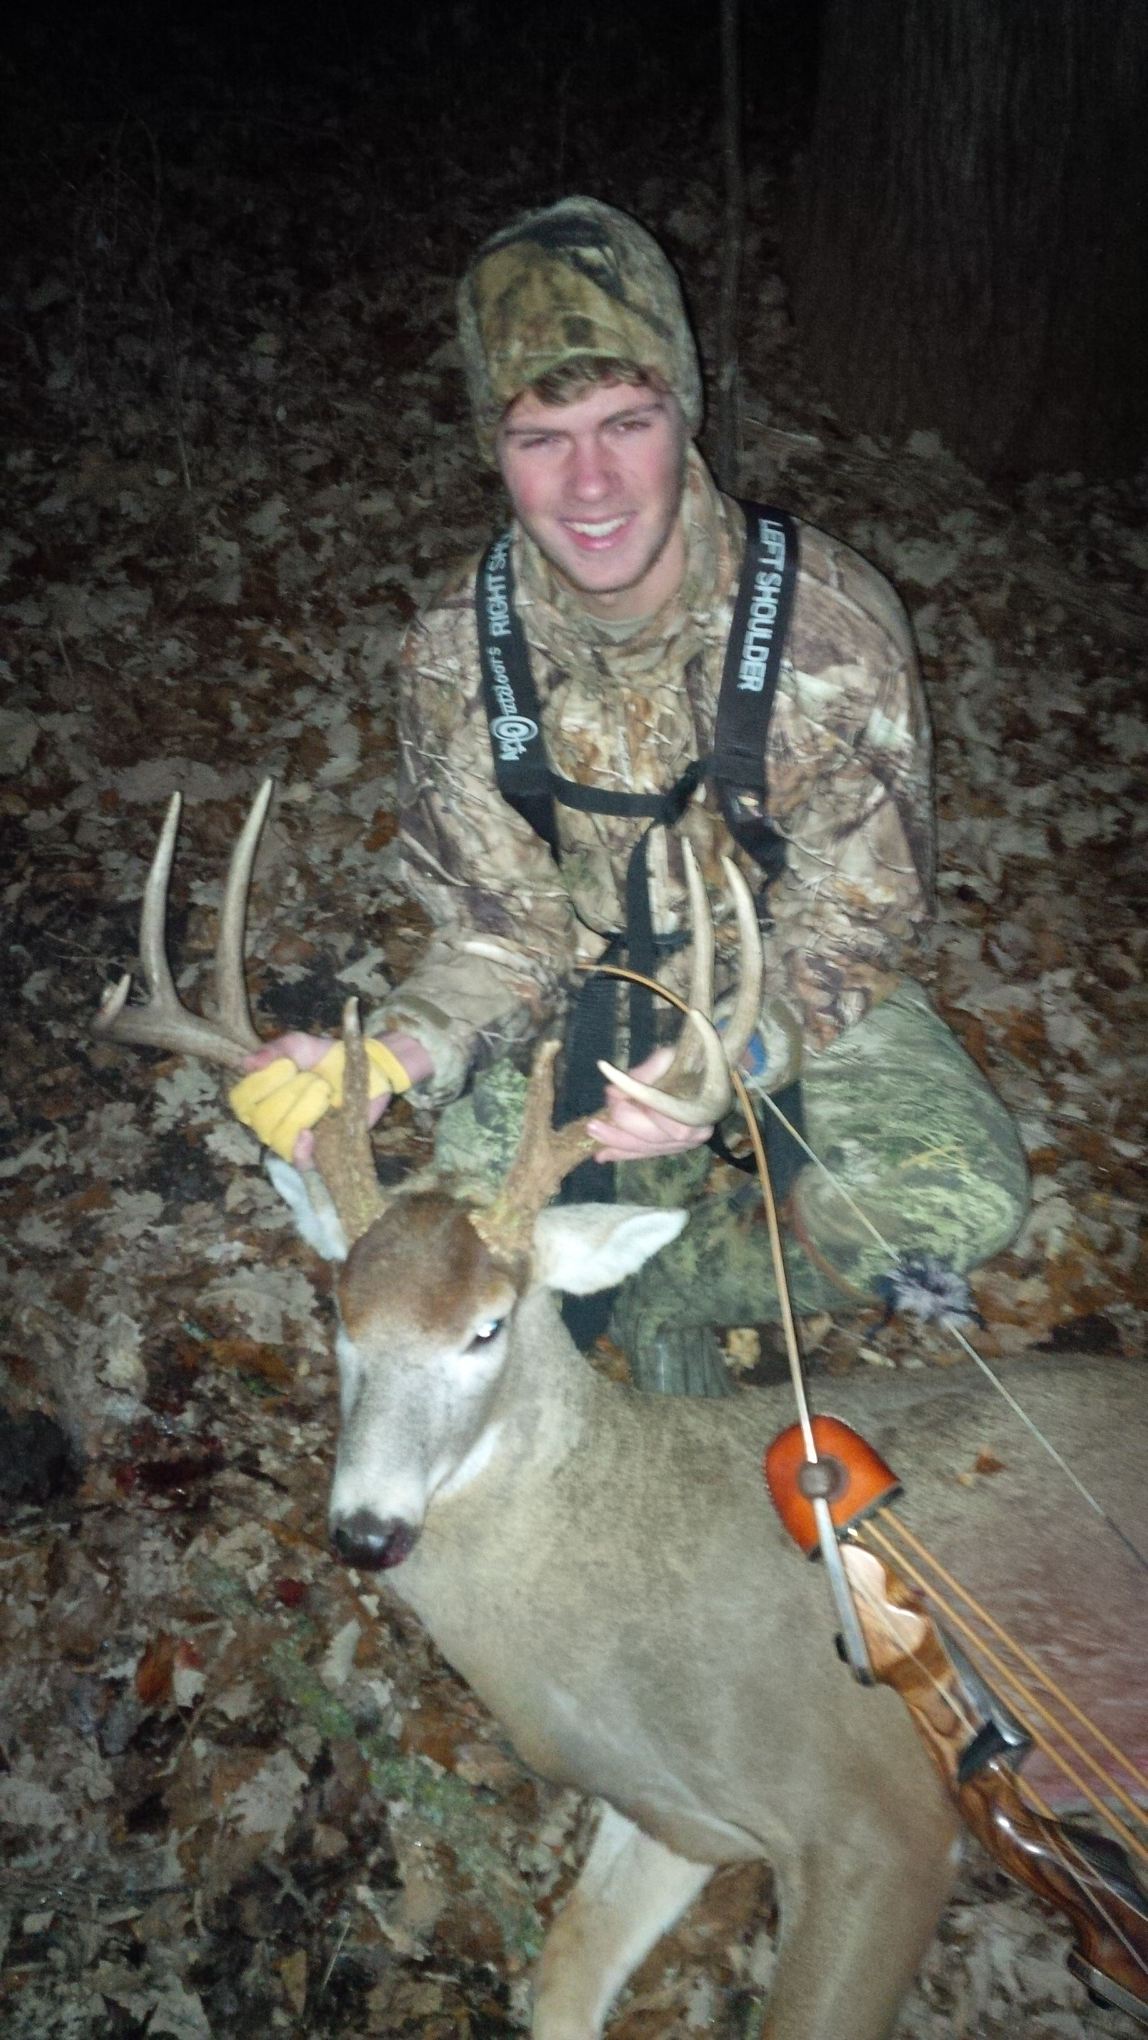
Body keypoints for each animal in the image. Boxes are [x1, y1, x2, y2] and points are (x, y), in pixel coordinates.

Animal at [94, 779, 967, 2039]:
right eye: (339, 1313)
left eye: (487, 1327)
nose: (367, 1531)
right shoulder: (672, 1812)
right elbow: (558, 1987)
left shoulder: (887, 1816)